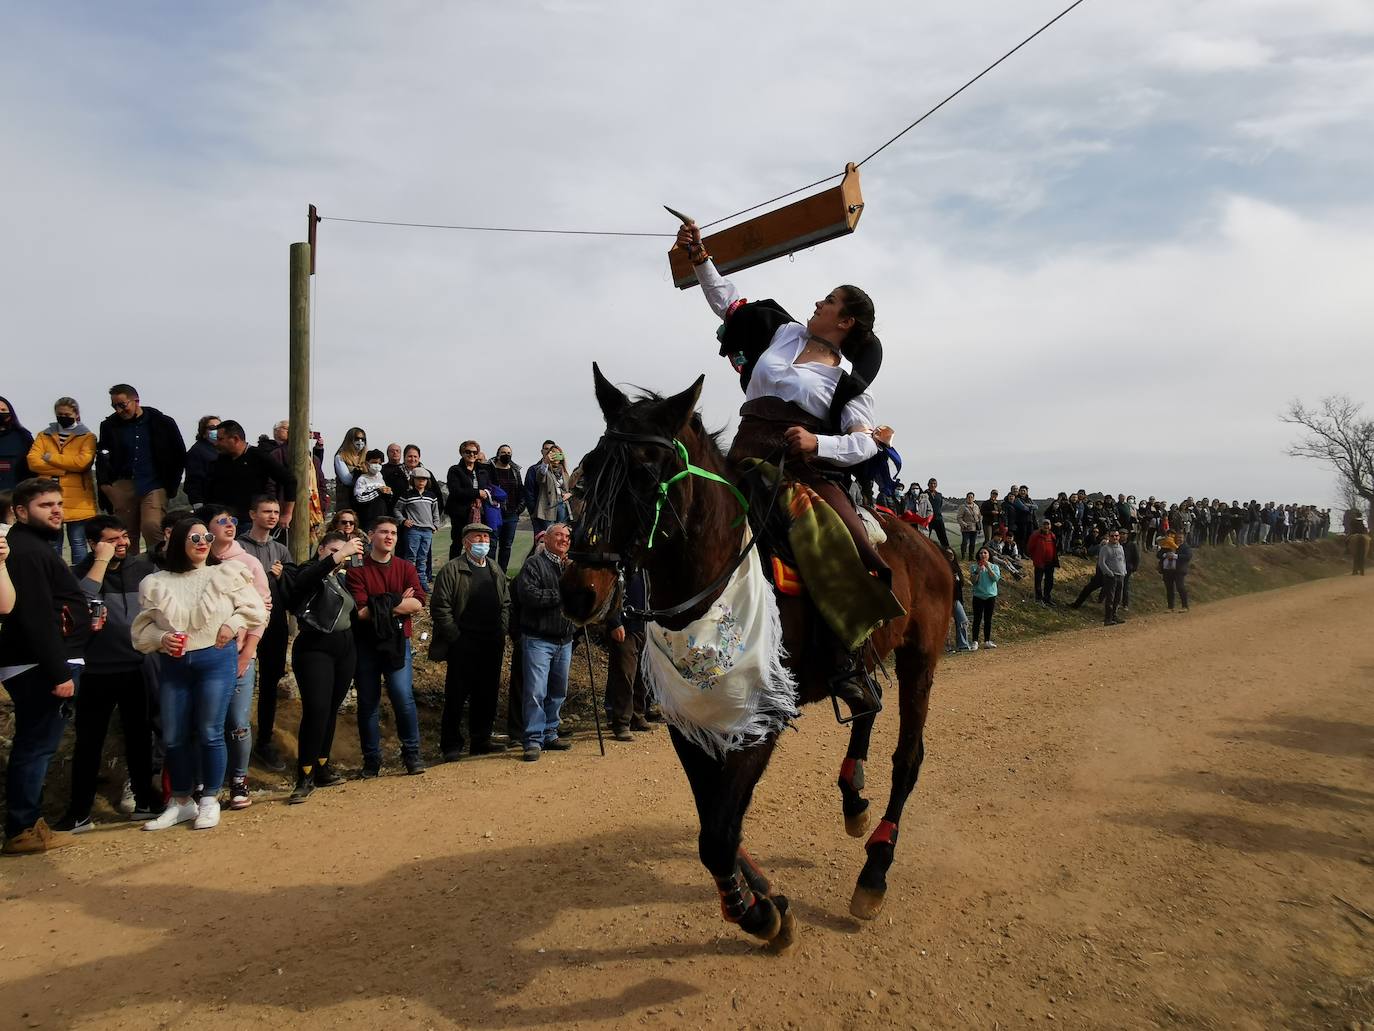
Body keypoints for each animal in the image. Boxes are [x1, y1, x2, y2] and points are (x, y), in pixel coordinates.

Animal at [560, 368, 956, 956]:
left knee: (908, 758)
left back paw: (875, 871)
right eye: (588, 468)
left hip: (920, 659)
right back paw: (853, 798)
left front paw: (759, 912)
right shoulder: (692, 719)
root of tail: (929, 544)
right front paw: (763, 898)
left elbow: (719, 835)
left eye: (645, 472)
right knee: (866, 704)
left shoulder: (760, 718)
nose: (579, 591)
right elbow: (713, 822)